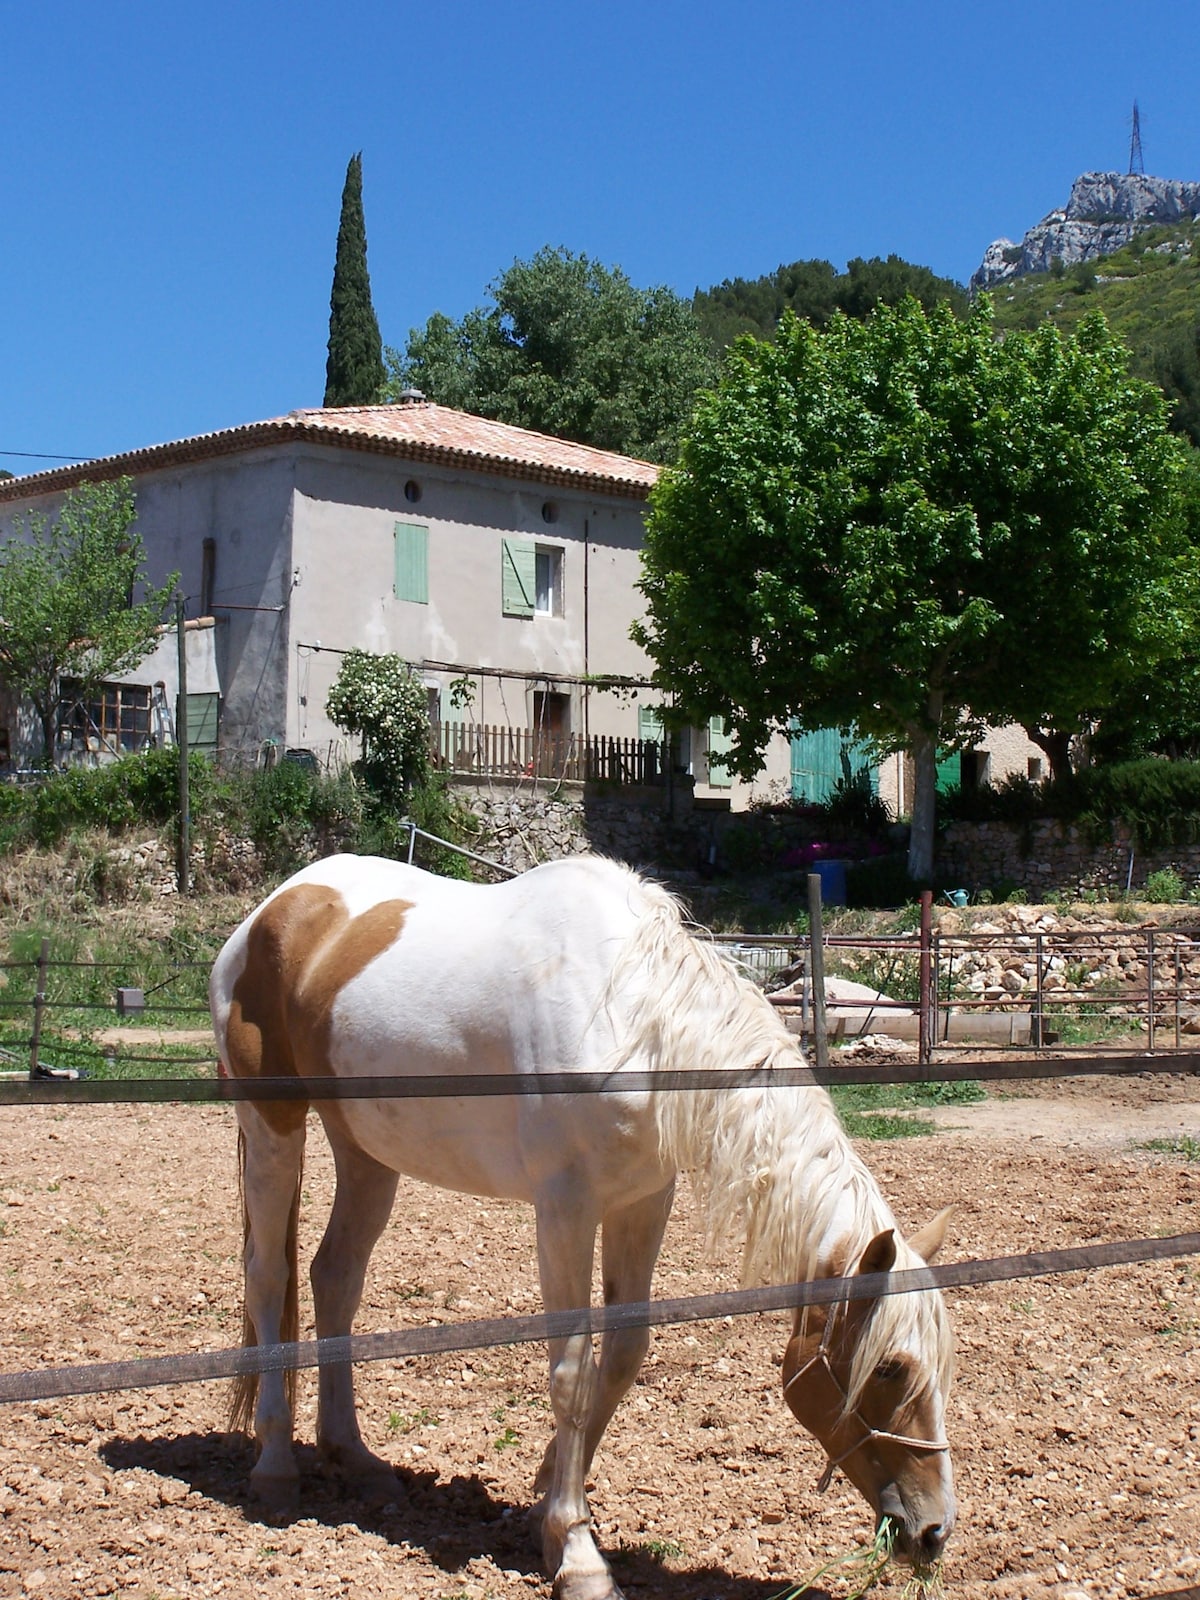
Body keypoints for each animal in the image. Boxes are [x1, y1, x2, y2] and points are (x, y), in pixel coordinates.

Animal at [209, 857, 960, 1600]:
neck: (639, 1026)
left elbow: (623, 1353)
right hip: (273, 1127)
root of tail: (273, 910)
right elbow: (571, 1367)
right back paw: (275, 1467)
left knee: (334, 1278)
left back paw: (355, 1457)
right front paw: (577, 1557)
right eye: (890, 1368)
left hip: (365, 1151)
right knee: (268, 1278)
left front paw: (547, 1500)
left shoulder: (642, 1201)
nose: (933, 1531)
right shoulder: (565, 1209)